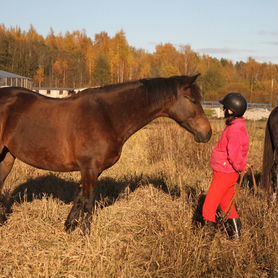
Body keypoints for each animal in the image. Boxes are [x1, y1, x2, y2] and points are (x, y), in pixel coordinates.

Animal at [0, 75, 212, 233]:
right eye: (193, 100)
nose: (207, 133)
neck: (106, 115)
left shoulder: (93, 170)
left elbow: (80, 197)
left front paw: (69, 227)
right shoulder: (89, 168)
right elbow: (88, 201)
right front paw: (85, 237)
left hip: (7, 158)